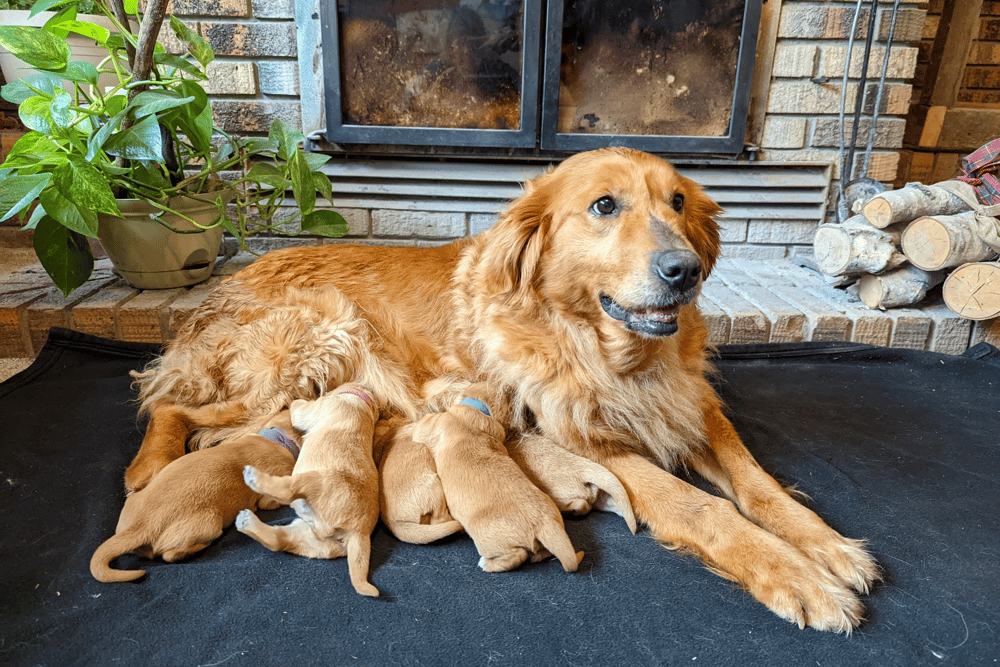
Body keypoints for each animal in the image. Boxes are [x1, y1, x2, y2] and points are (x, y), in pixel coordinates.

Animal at [91, 404, 296, 580]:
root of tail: (141, 526)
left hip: (132, 503)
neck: (276, 439)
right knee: (169, 555)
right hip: (209, 522)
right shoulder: (270, 494)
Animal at [236, 384, 384, 596]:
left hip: (315, 481)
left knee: (288, 490)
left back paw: (255, 478)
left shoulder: (313, 409)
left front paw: (296, 399)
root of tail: (359, 531)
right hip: (314, 538)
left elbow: (299, 409)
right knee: (280, 540)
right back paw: (247, 522)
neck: (363, 403)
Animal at [410, 386, 584, 576]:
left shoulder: (437, 423)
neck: (477, 408)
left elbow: (422, 427)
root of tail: (542, 523)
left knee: (517, 555)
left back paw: (486, 564)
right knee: (540, 553)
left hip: (489, 540)